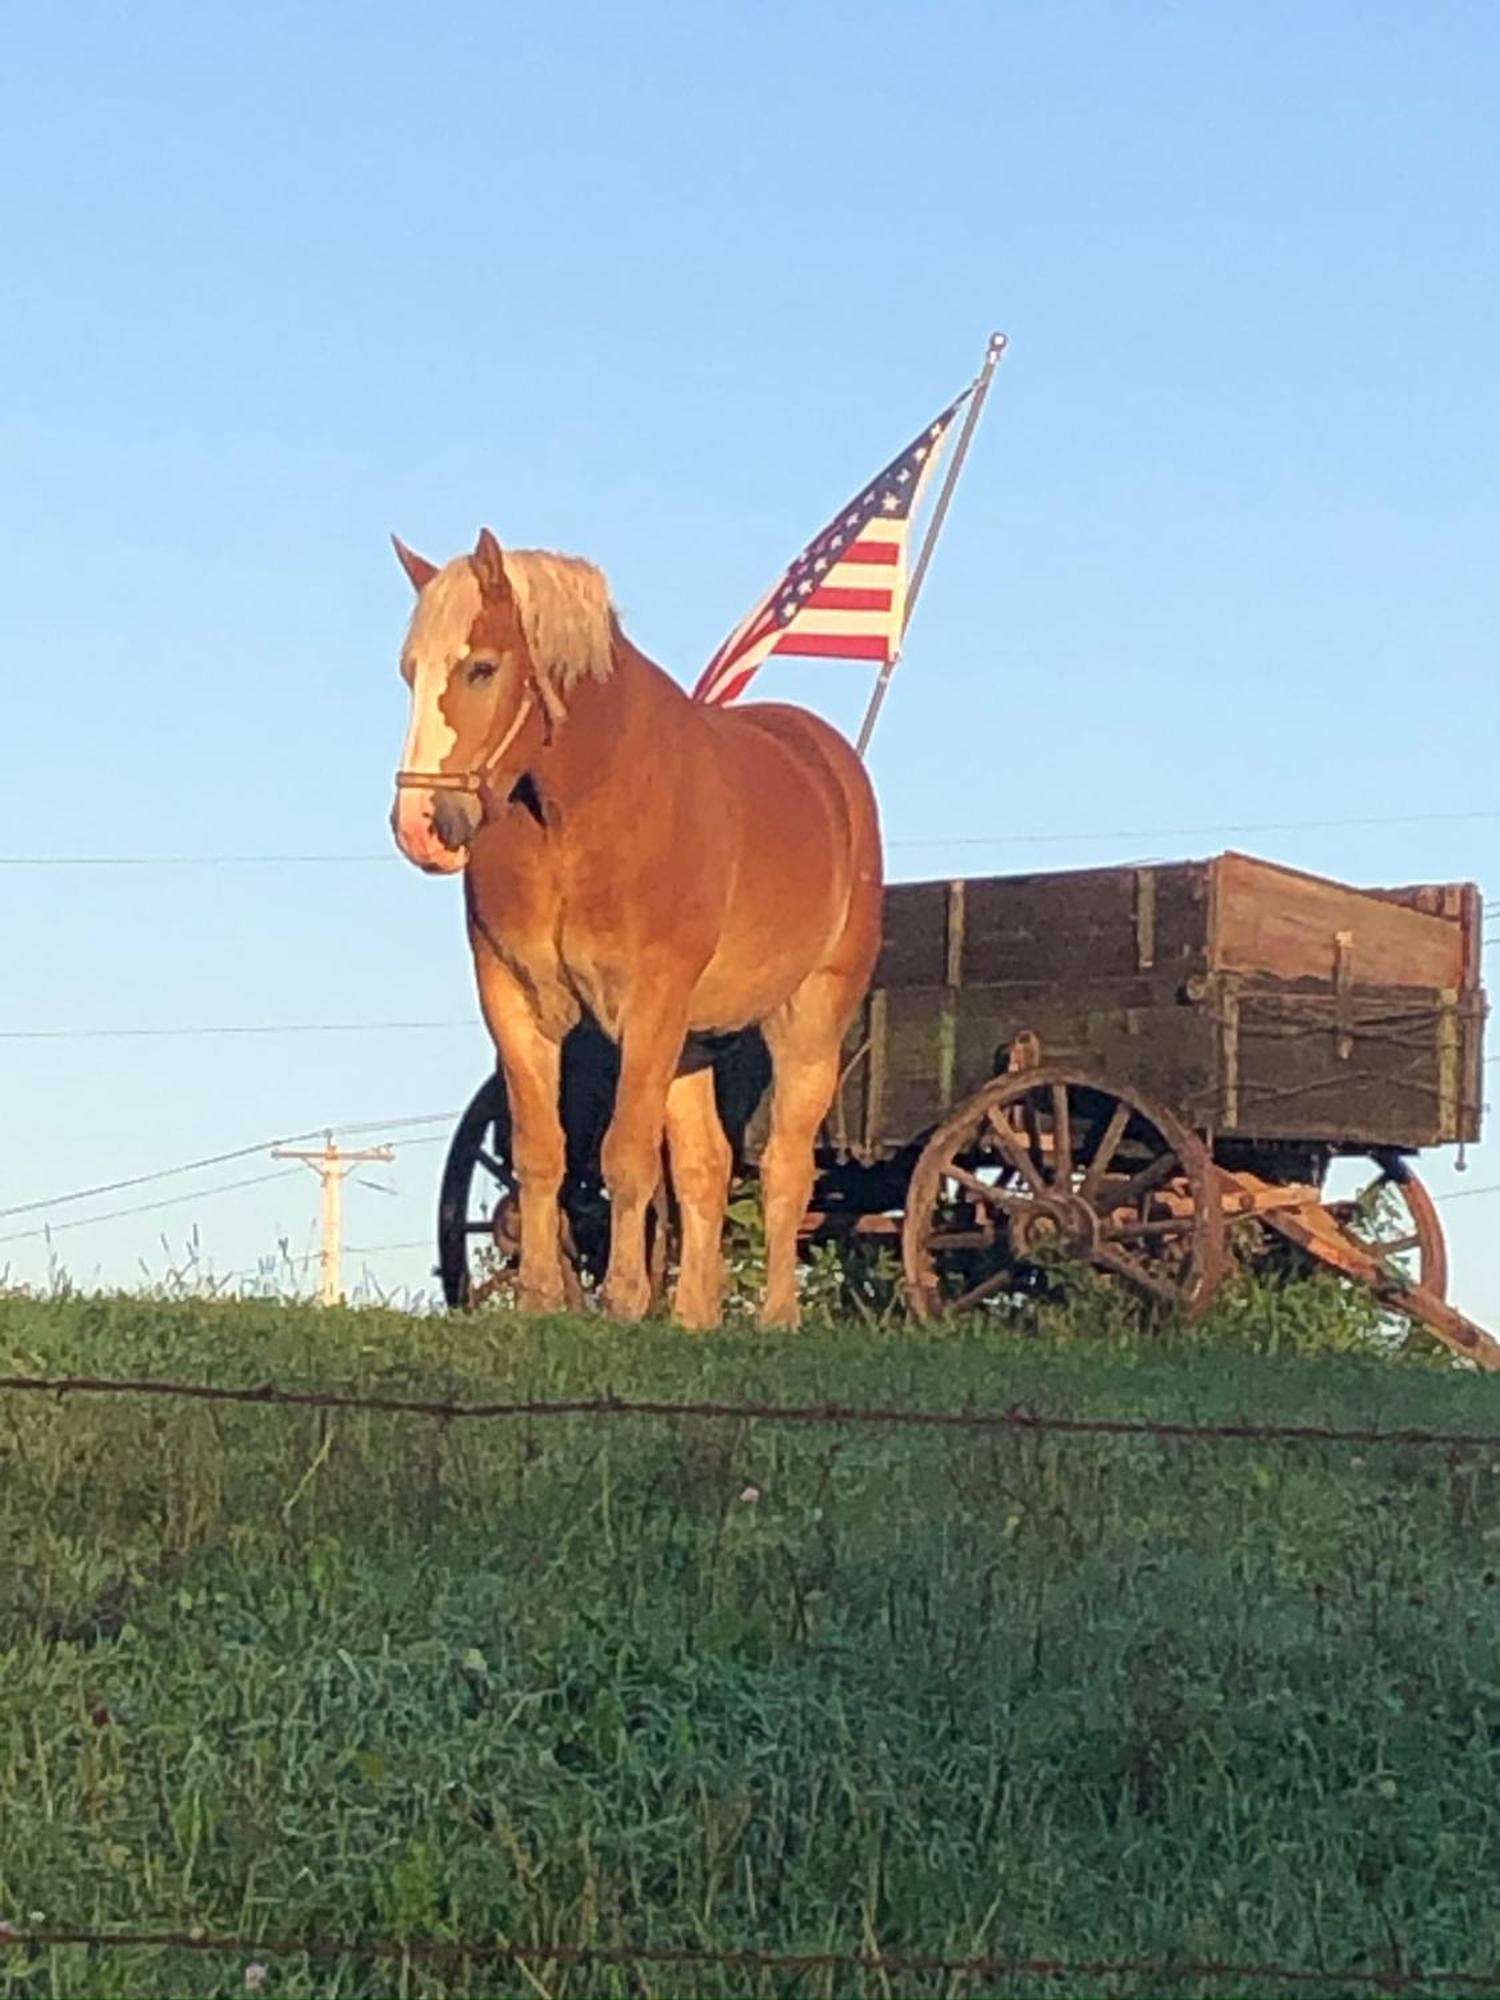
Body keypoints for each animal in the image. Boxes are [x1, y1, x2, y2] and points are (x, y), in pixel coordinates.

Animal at [390, 528, 880, 1328]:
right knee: (707, 1167)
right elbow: (543, 1153)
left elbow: (625, 1154)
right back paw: (692, 1317)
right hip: (693, 1044)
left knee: (785, 1165)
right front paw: (539, 1297)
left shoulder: (650, 1003)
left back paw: (776, 1315)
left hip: (808, 1020)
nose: (420, 828)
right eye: (409, 672)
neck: (576, 818)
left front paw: (622, 1296)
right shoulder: (516, 1001)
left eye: (482, 667)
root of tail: (831, 764)